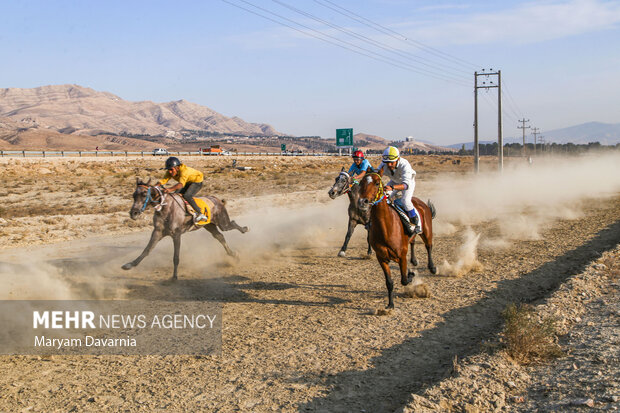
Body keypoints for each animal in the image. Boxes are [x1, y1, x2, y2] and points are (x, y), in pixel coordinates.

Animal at [356, 169, 438, 308]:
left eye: (377, 183)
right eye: (361, 182)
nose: (363, 202)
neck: (386, 228)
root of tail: (420, 202)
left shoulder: (401, 256)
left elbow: (404, 279)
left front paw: (411, 274)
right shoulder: (382, 258)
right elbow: (389, 283)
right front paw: (390, 304)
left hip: (426, 231)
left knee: (428, 246)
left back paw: (432, 267)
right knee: (413, 241)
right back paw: (414, 260)